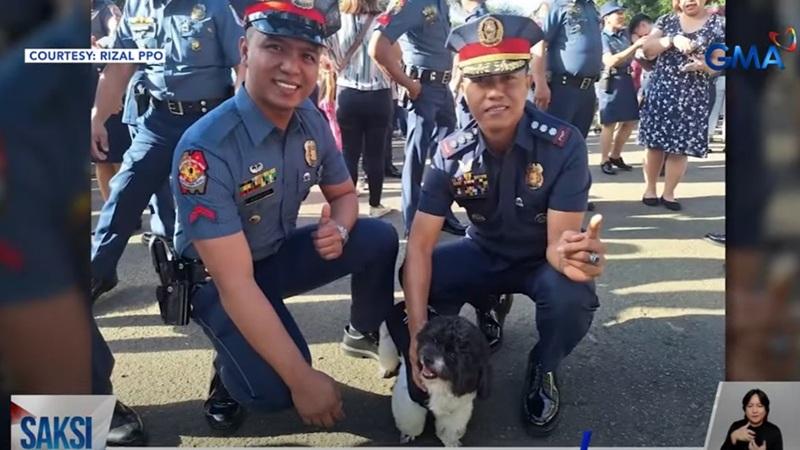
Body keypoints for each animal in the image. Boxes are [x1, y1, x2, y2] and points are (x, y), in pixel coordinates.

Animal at [378, 312, 490, 446]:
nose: (427, 359)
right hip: (387, 338)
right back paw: (384, 369)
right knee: (387, 357)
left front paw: (451, 442)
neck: (440, 383)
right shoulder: (408, 399)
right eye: (434, 340)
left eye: (452, 354)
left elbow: (450, 429)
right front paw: (408, 434)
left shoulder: (457, 407)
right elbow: (411, 422)